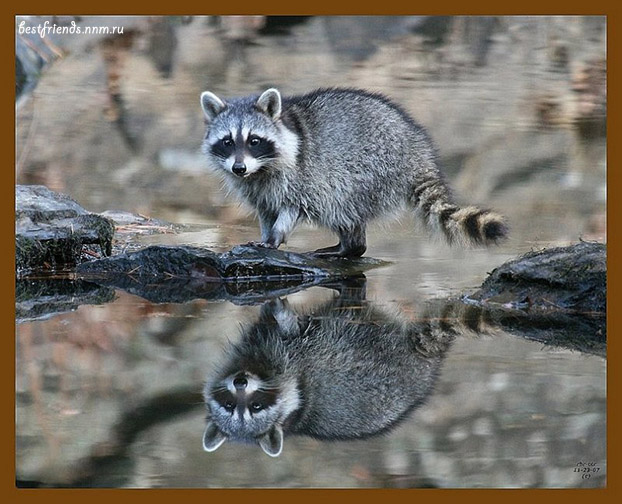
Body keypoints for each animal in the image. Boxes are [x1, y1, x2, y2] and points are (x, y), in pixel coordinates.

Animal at [202, 86, 510, 256]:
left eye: (254, 141)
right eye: (227, 142)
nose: (239, 168)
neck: (259, 170)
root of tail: (417, 152)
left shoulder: (299, 177)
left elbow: (292, 207)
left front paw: (276, 236)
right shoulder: (258, 188)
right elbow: (266, 210)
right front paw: (266, 235)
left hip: (369, 170)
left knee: (339, 204)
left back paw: (350, 246)